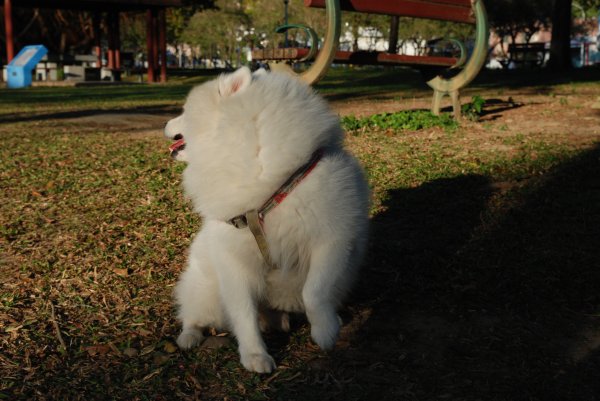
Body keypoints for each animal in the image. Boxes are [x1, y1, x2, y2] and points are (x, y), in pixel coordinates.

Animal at [165, 66, 370, 372]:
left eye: (184, 111)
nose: (165, 123)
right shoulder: (233, 261)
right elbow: (243, 314)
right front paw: (254, 356)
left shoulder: (332, 240)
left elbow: (315, 291)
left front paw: (325, 331)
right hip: (206, 293)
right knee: (193, 316)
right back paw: (189, 336)